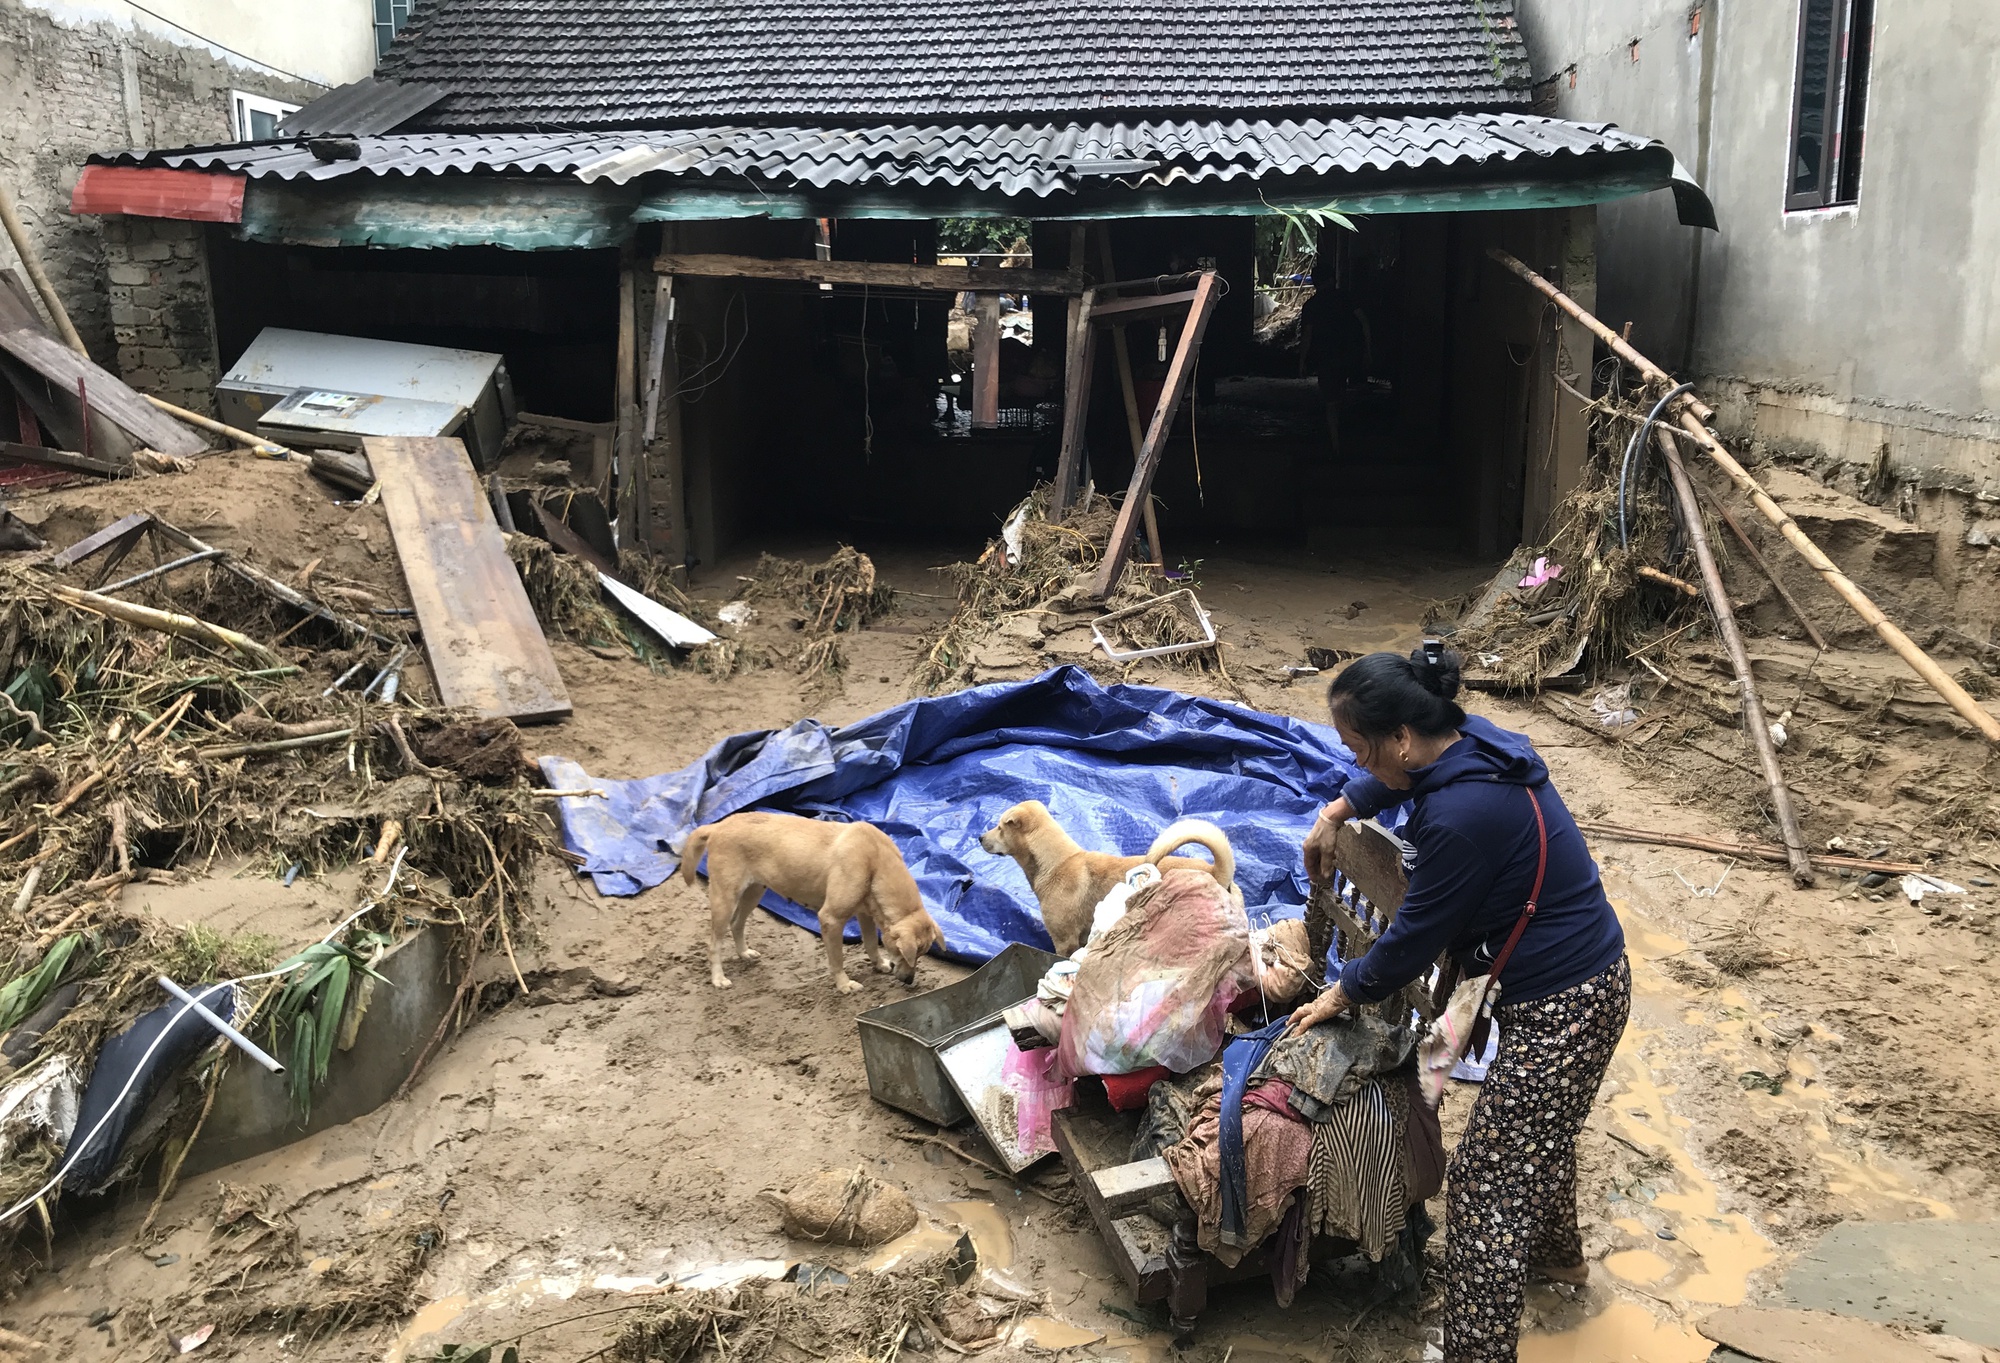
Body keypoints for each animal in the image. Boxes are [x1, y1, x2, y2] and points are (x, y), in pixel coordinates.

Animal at [680, 807, 944, 987]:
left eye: (922, 954)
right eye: (908, 954)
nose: (910, 981)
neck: (876, 862)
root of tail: (716, 827)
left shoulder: (865, 915)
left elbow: (871, 943)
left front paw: (879, 964)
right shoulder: (831, 919)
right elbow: (837, 959)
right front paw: (844, 985)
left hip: (754, 892)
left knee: (737, 924)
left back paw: (744, 953)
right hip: (725, 898)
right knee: (713, 943)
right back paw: (718, 978)